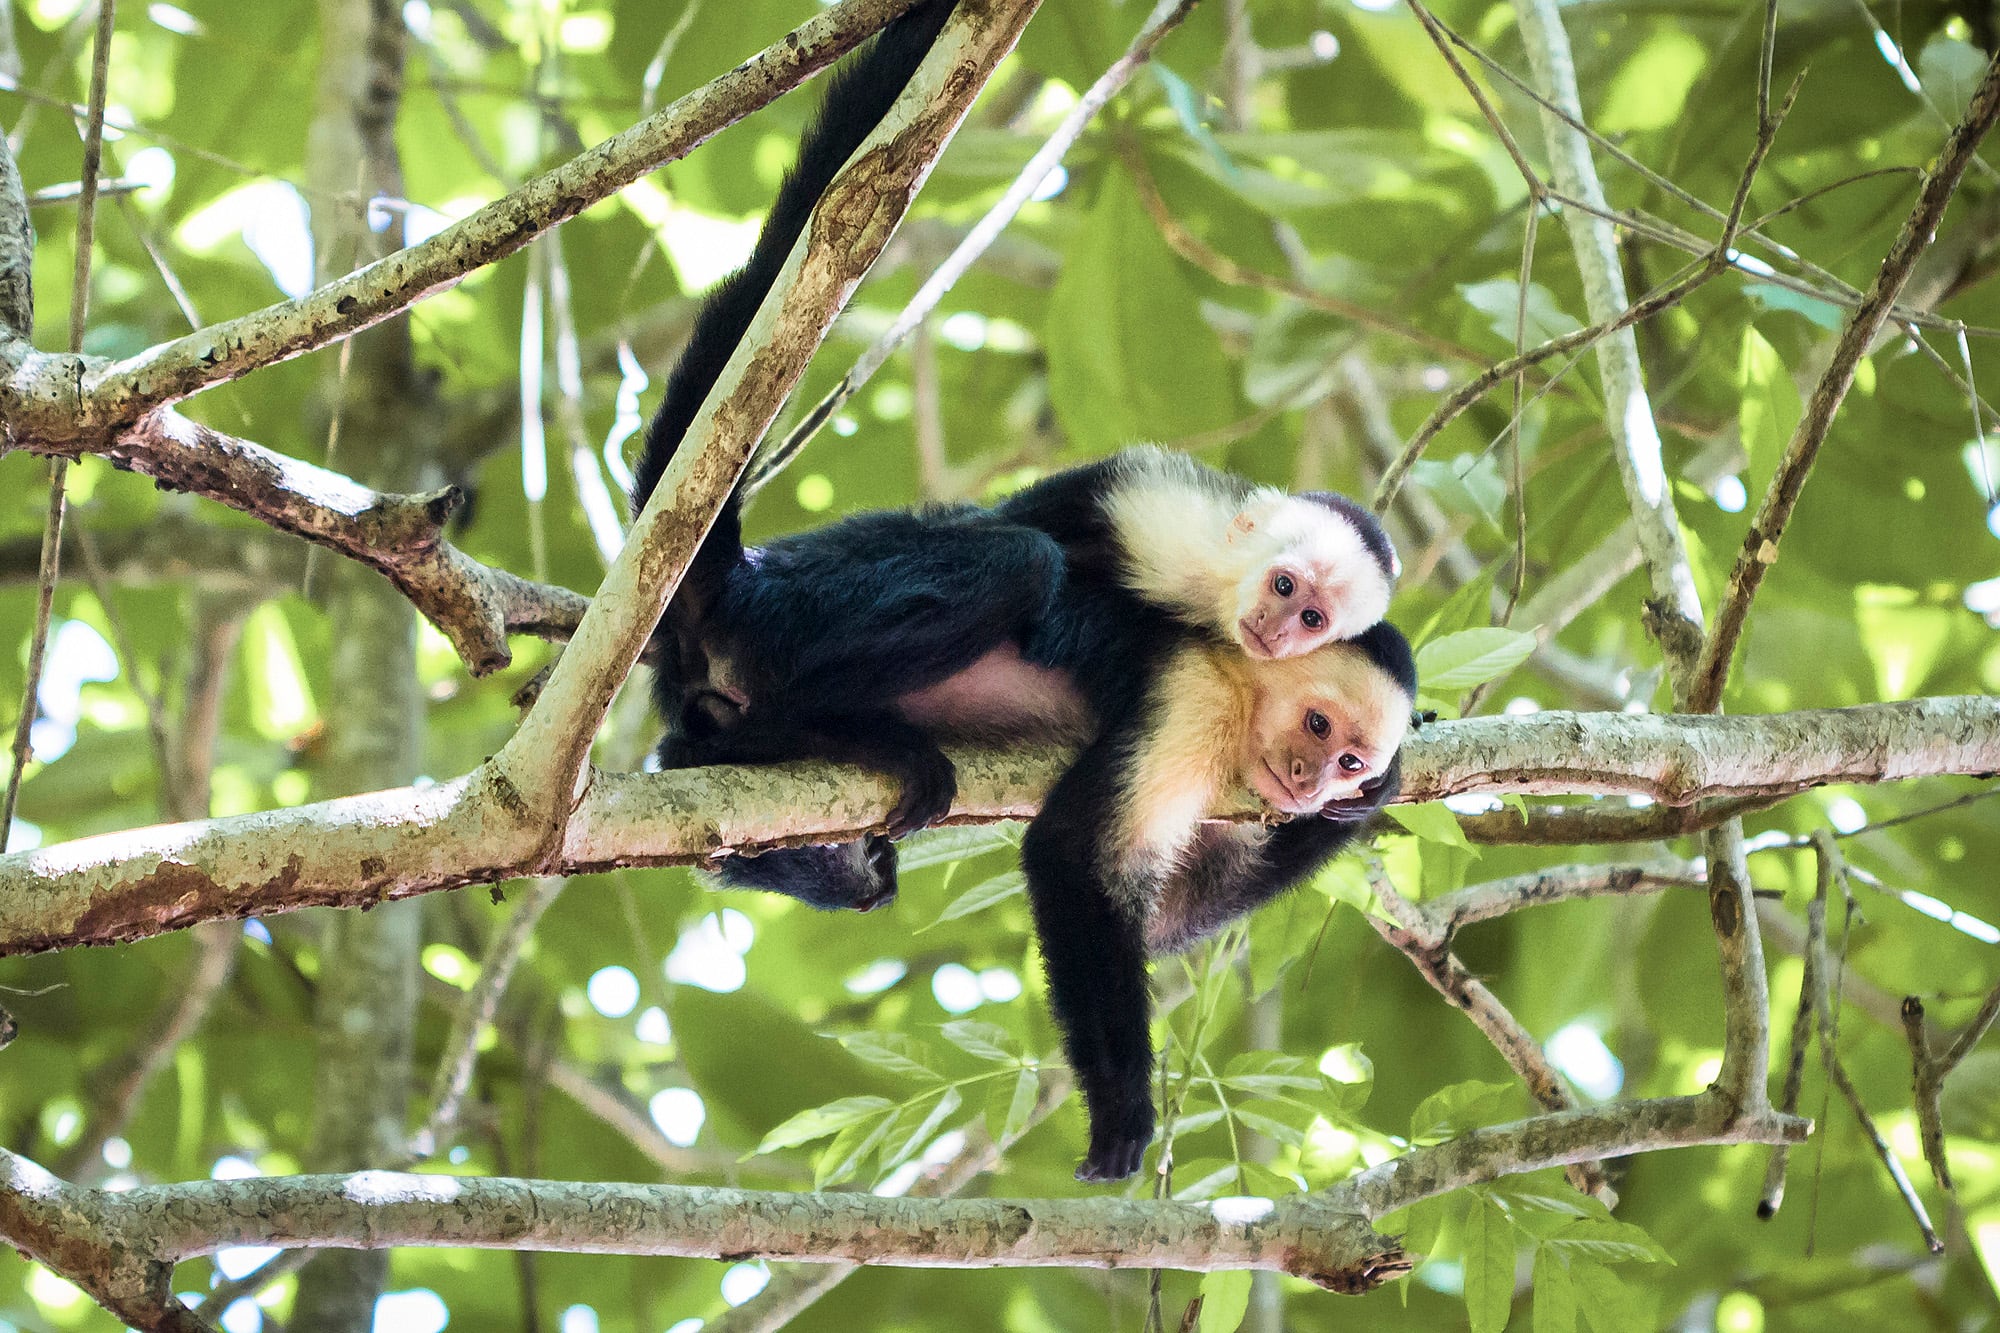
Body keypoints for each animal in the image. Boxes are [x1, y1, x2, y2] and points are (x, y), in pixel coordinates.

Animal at [632, 0, 1416, 1176]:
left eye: (1351, 754)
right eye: (1318, 724)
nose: (1319, 778)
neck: (1246, 701)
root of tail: (731, 578)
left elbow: (1175, 918)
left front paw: (1372, 803)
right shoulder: (1192, 698)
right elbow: (1075, 860)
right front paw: (1123, 1111)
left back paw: (748, 782)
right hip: (800, 608)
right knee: (1015, 561)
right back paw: (820, 728)